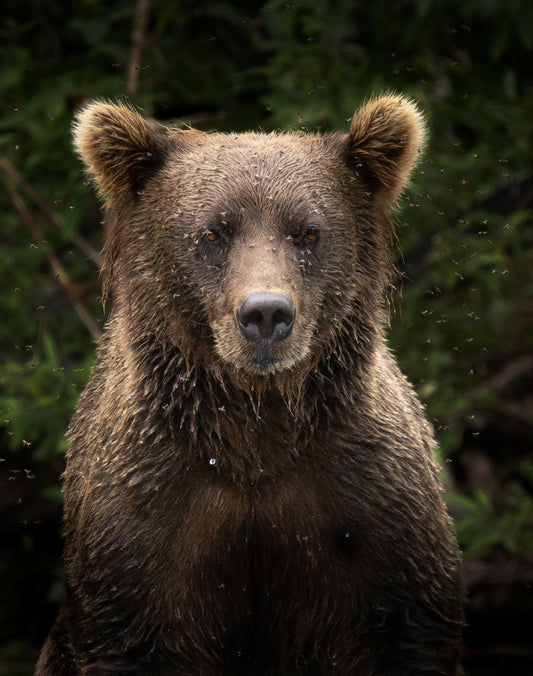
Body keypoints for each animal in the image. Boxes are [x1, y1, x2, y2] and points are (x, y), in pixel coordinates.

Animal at [36, 96, 462, 676]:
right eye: (213, 232)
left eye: (308, 231)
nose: (265, 314)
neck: (255, 431)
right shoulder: (138, 522)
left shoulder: (373, 505)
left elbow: (402, 630)